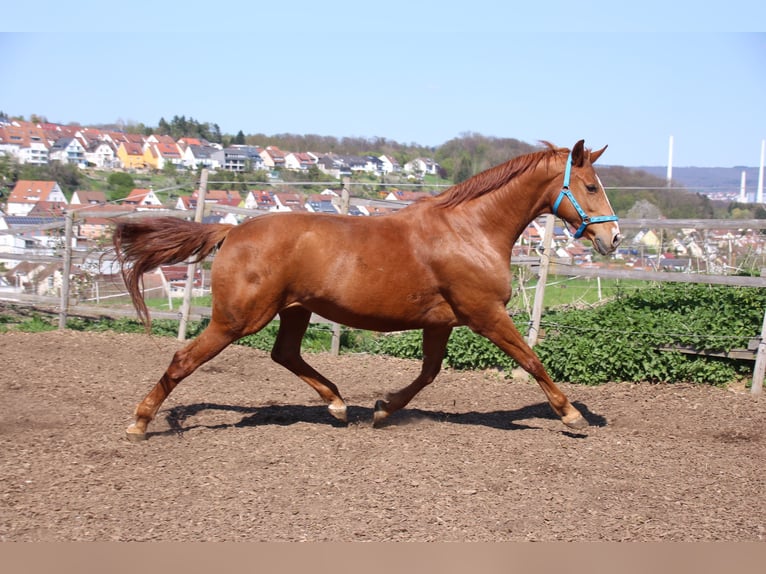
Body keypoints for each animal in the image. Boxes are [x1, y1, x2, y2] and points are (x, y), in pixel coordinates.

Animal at [114, 140, 624, 440]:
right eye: (590, 186)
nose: (613, 238)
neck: (469, 230)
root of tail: (231, 231)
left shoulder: (442, 322)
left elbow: (429, 372)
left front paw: (382, 409)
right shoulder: (485, 314)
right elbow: (531, 359)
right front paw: (572, 415)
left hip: (294, 309)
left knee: (285, 354)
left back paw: (339, 406)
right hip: (238, 318)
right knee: (185, 359)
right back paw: (139, 422)